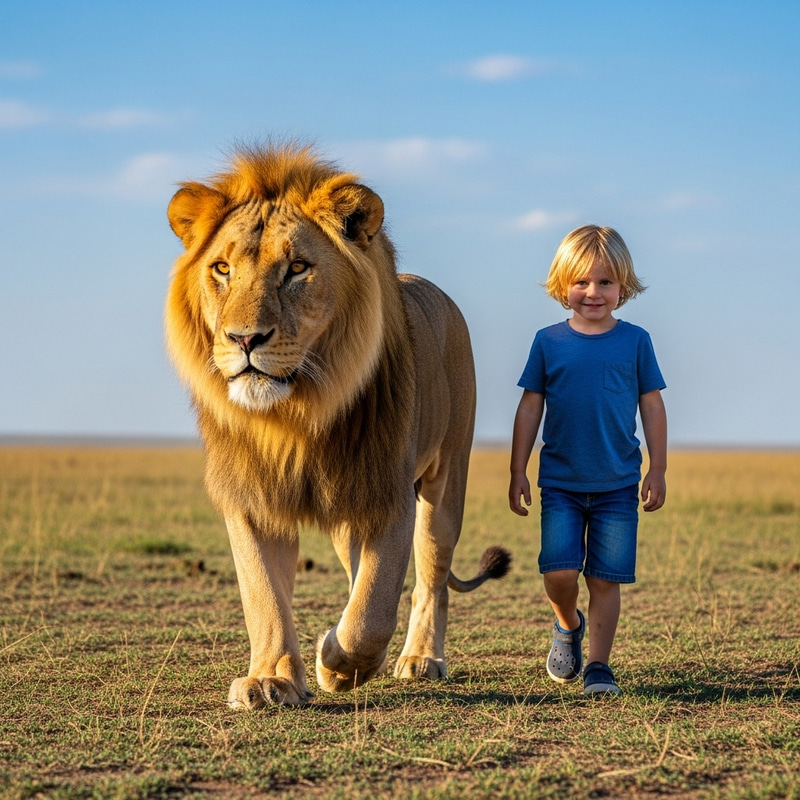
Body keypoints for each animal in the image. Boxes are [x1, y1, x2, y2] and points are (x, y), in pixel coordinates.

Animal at [165, 143, 510, 708]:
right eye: (221, 268)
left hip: (444, 482)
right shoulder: (252, 496)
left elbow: (373, 609)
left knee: (431, 578)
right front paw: (271, 679)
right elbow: (263, 593)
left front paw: (337, 665)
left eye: (298, 268)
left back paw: (420, 659)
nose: (244, 339)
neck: (295, 417)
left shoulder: (387, 492)